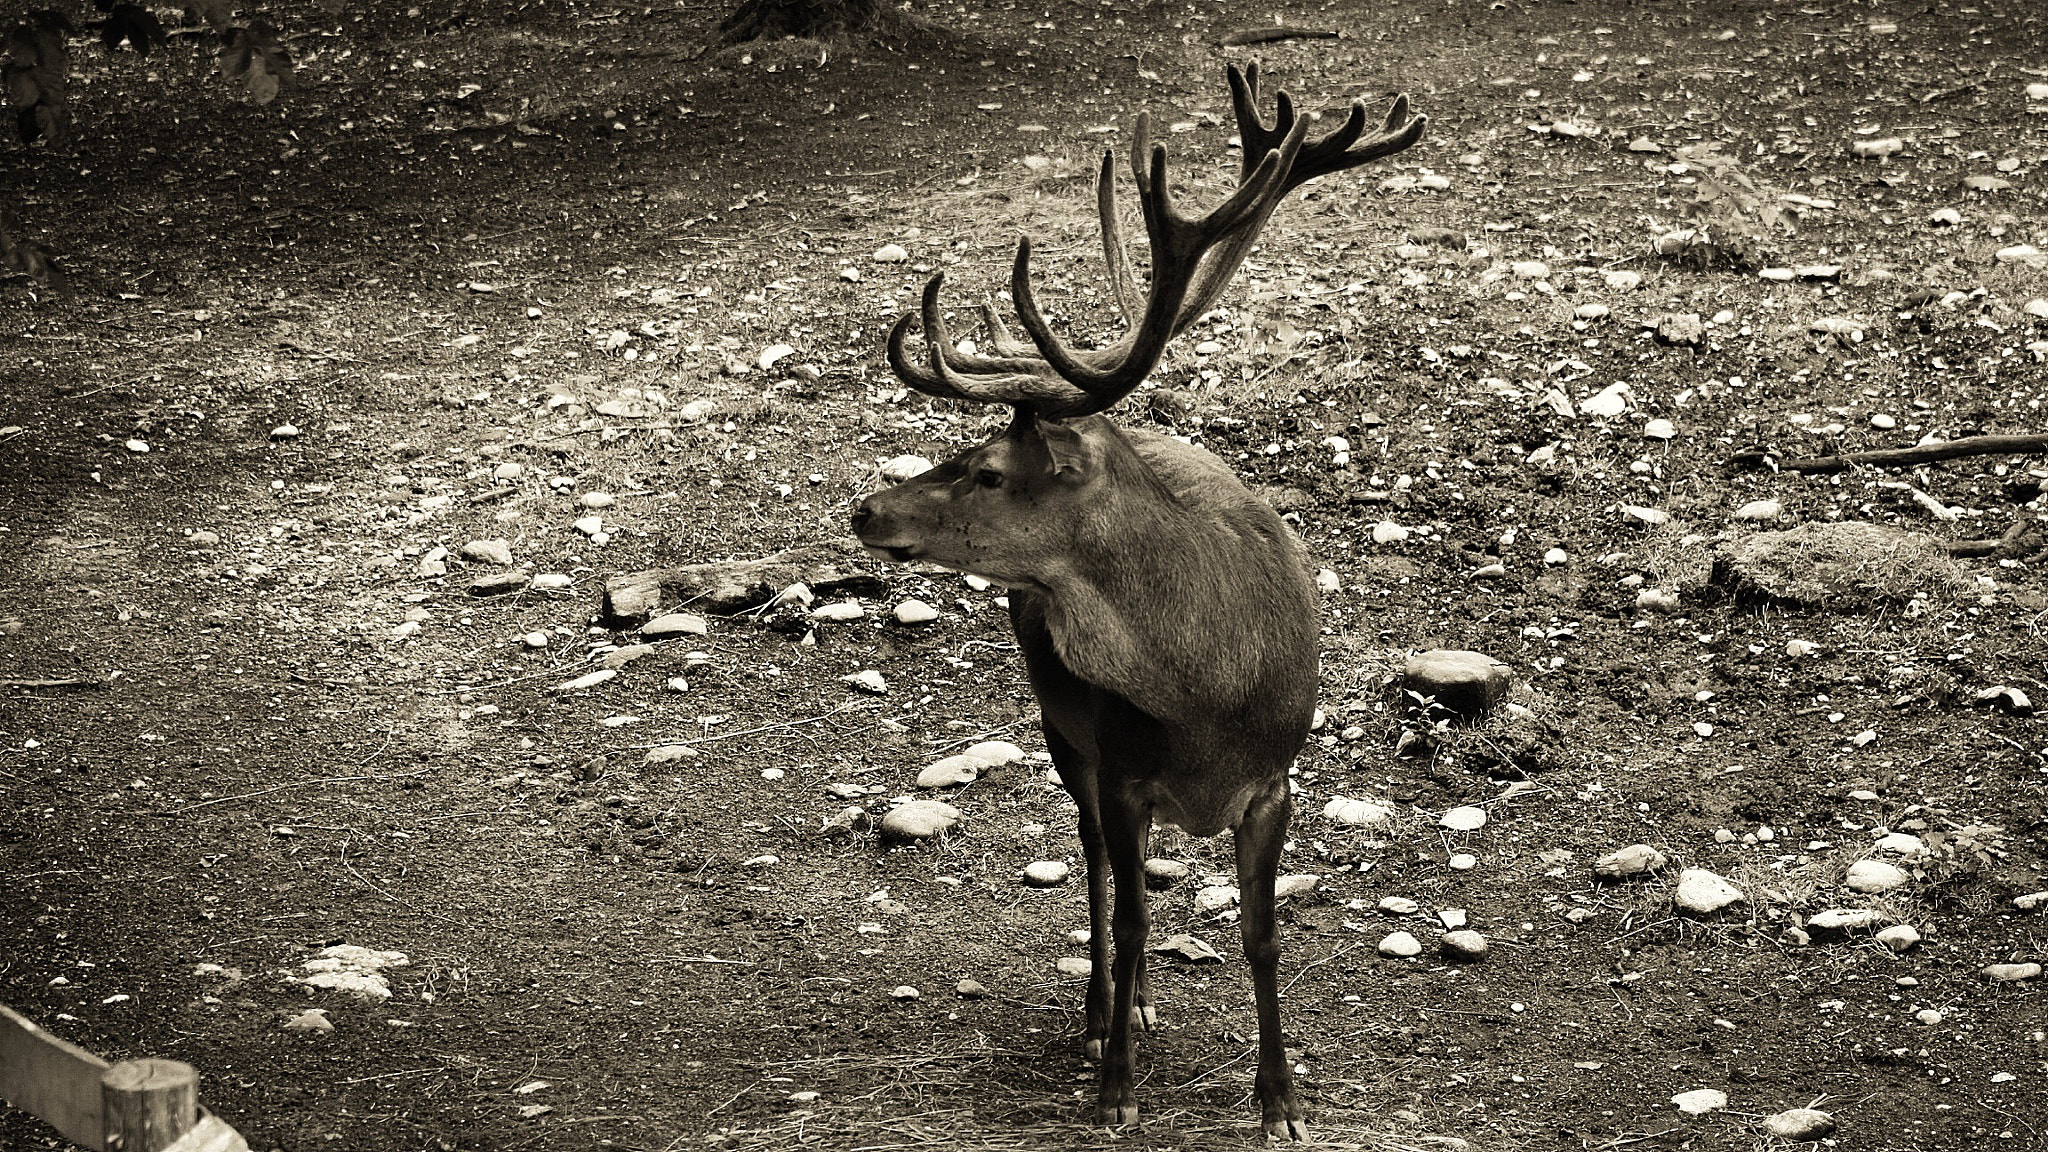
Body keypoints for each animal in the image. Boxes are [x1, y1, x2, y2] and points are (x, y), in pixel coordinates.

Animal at [850, 63, 1423, 1140]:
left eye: (986, 471)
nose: (865, 508)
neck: (1203, 695)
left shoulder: (1276, 779)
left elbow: (1261, 936)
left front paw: (1280, 1099)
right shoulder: (1119, 766)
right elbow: (1128, 915)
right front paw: (1113, 1085)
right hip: (1057, 727)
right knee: (1098, 870)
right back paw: (1102, 1015)